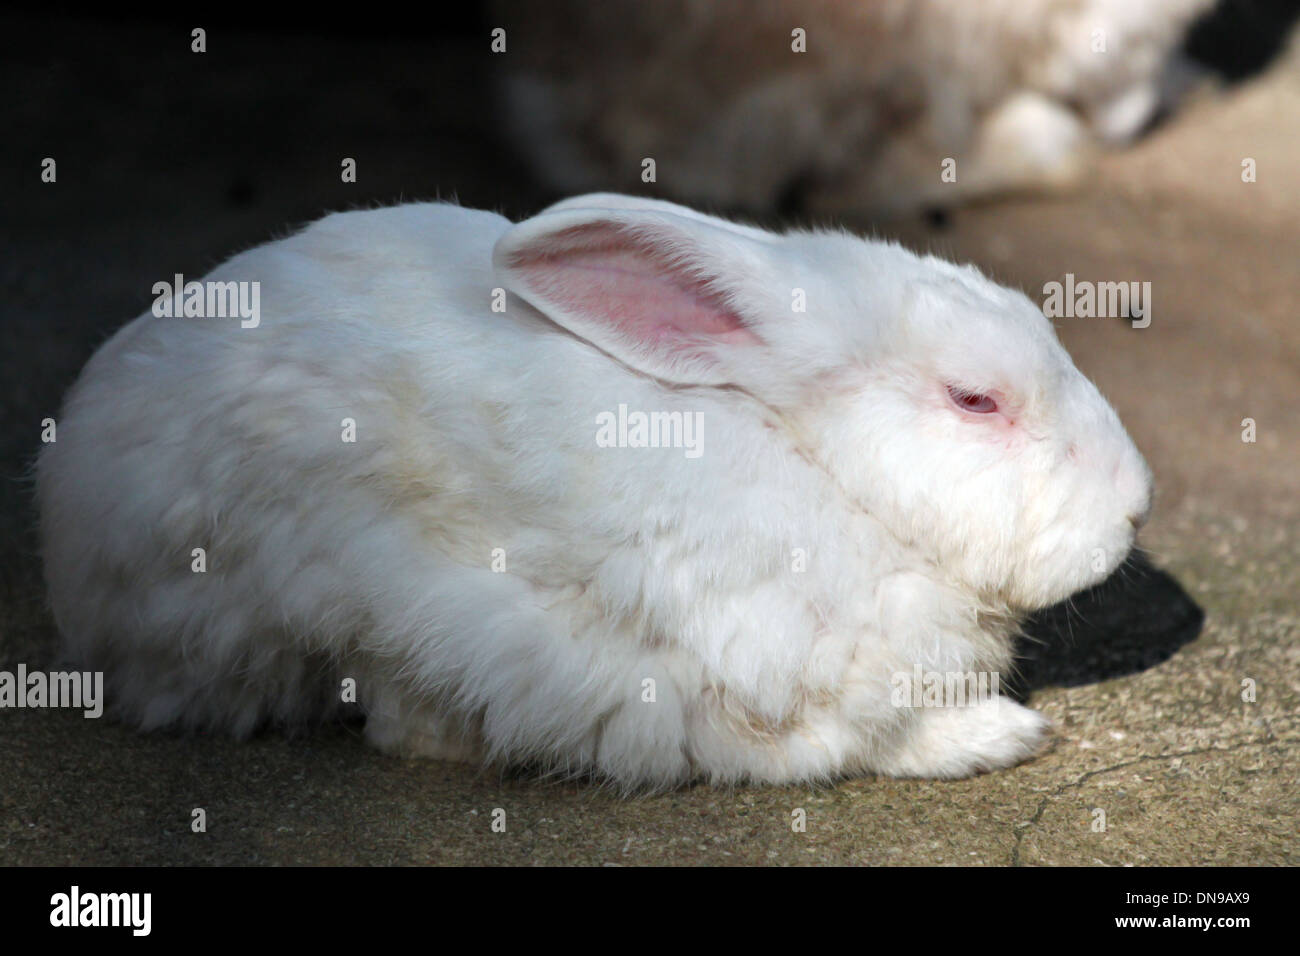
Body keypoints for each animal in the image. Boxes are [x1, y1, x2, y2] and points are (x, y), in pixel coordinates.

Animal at [35, 191, 1154, 790]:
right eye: (975, 399)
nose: (1136, 501)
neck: (816, 463)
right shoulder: (767, 685)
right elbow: (869, 737)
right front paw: (1005, 734)